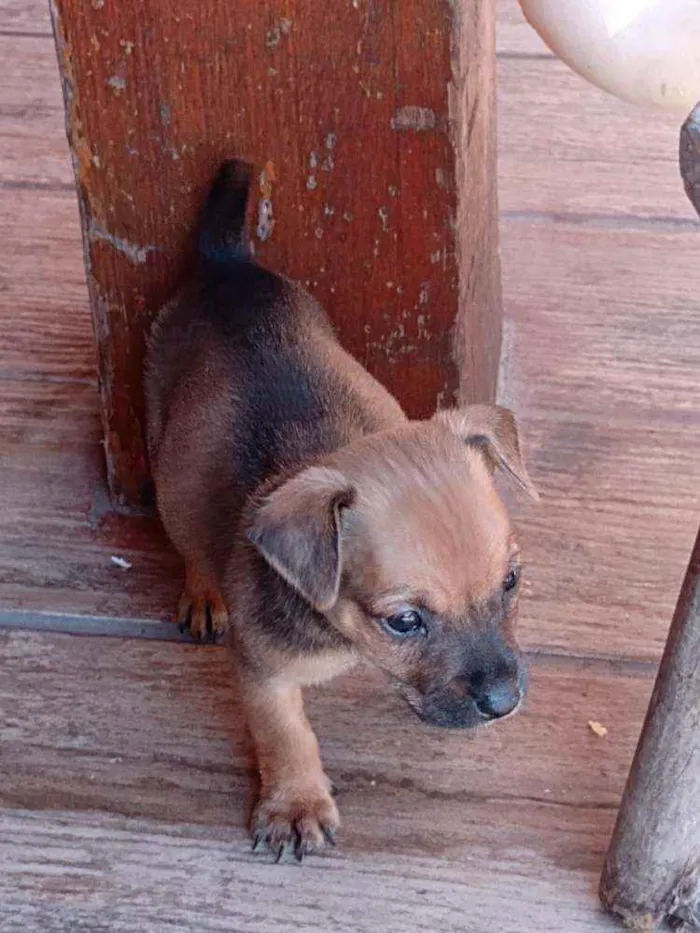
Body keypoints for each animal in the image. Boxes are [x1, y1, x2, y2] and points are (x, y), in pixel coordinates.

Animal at [145, 164, 540, 864]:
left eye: (512, 582)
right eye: (404, 621)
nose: (504, 702)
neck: (343, 637)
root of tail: (227, 267)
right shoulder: (263, 671)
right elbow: (286, 736)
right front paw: (296, 805)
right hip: (162, 445)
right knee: (187, 535)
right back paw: (202, 594)